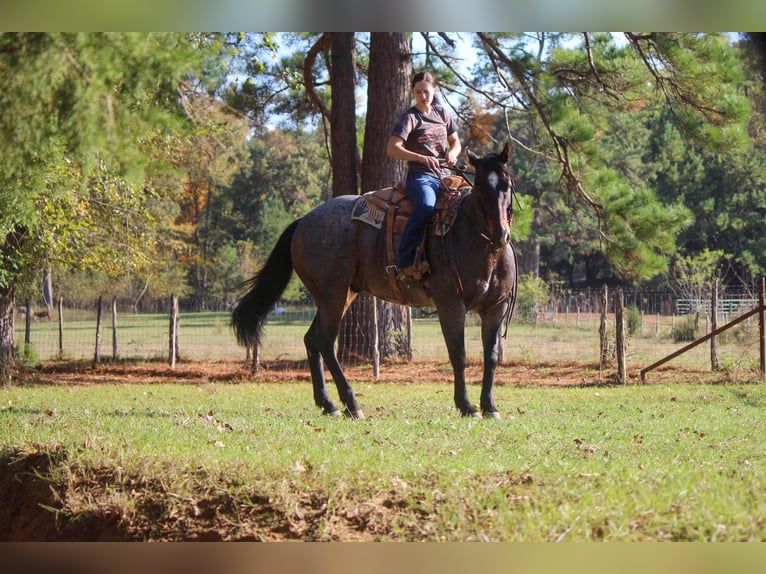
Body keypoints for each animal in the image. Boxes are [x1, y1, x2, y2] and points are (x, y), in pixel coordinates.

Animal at [231, 143, 520, 424]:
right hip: (333, 295)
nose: (500, 233)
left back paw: (328, 404)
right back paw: (352, 404)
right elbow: (458, 354)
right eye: (480, 187)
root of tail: (303, 220)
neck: (477, 242)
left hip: (341, 295)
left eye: (507, 184)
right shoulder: (451, 304)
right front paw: (467, 406)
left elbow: (492, 355)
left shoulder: (496, 307)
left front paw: (490, 406)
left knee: (312, 339)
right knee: (325, 341)